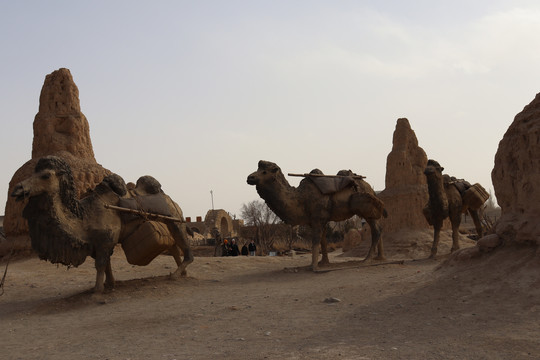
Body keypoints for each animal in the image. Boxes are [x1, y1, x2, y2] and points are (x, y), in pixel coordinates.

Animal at [11, 155, 194, 292]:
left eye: (46, 175)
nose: (17, 189)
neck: (84, 217)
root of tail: (172, 201)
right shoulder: (97, 242)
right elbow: (105, 265)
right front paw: (110, 284)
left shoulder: (106, 240)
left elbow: (100, 265)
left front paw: (97, 290)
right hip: (168, 223)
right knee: (174, 248)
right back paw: (181, 273)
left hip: (176, 220)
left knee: (186, 250)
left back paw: (176, 275)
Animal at [247, 161, 386, 270]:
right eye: (258, 169)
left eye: (265, 172)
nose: (250, 177)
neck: (301, 198)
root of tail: (370, 188)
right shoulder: (317, 220)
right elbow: (323, 241)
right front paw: (322, 263)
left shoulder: (318, 218)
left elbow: (315, 241)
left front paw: (313, 267)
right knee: (378, 228)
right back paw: (380, 258)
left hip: (367, 210)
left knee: (376, 230)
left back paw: (367, 260)